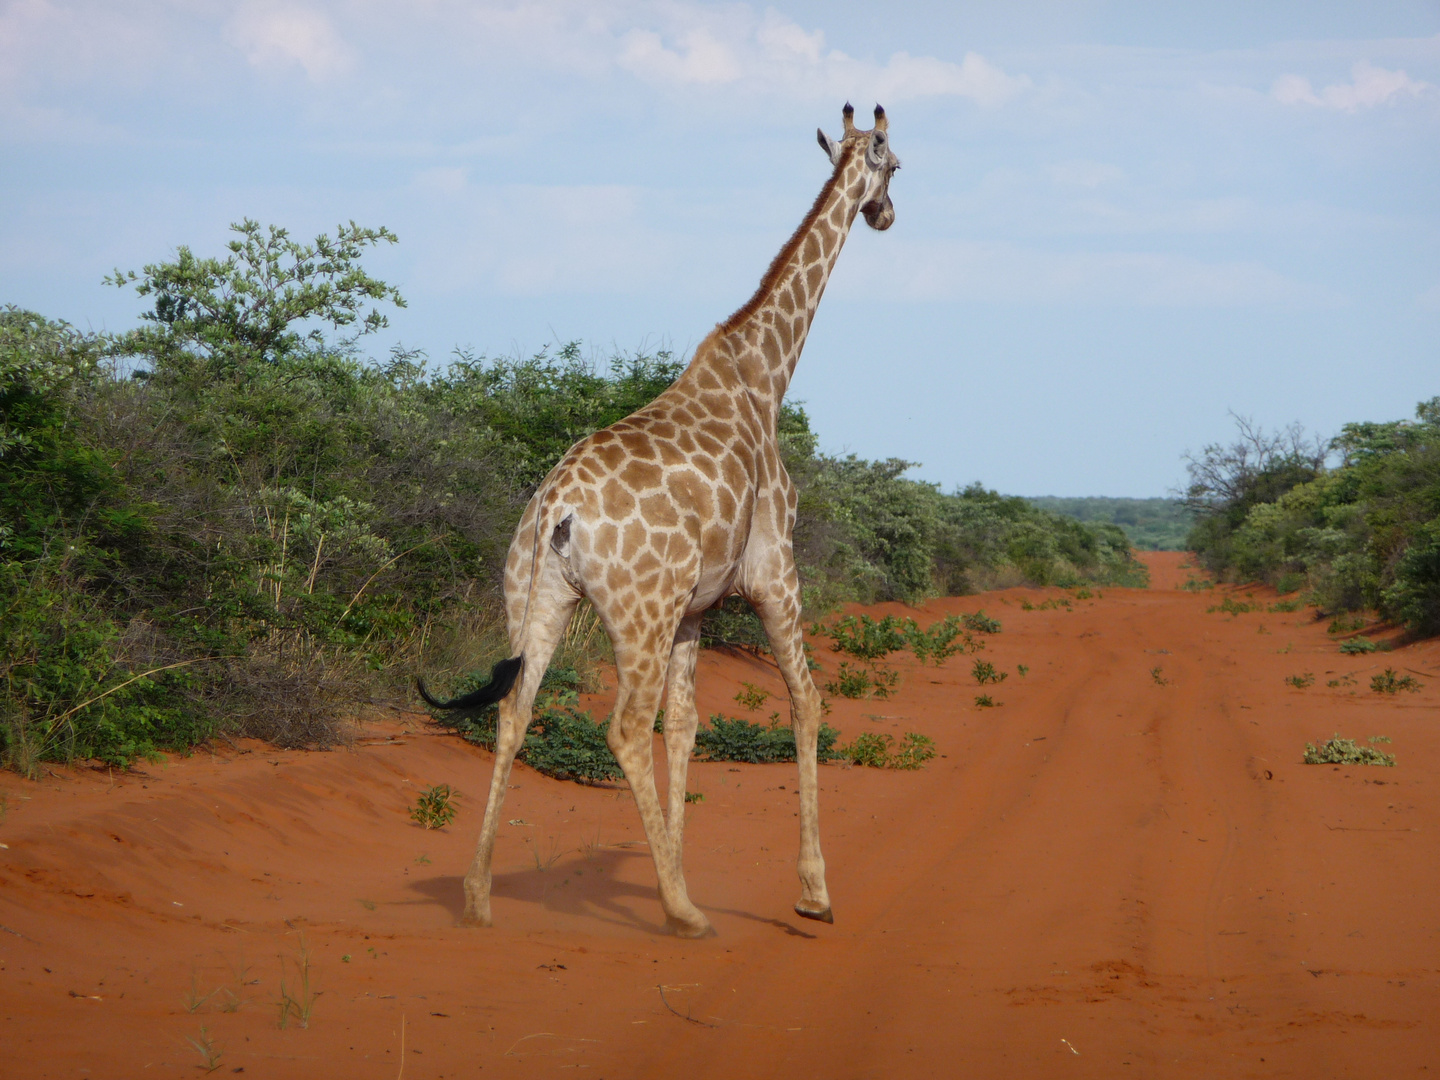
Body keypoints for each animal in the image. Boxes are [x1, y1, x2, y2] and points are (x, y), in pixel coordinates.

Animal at [420, 105, 898, 944]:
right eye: (896, 164)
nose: (887, 214)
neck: (766, 374)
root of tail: (558, 509)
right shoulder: (774, 573)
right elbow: (807, 702)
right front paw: (812, 892)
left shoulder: (693, 610)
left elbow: (686, 726)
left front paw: (672, 865)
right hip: (635, 613)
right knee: (620, 727)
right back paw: (684, 913)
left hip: (535, 597)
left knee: (515, 709)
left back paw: (479, 895)